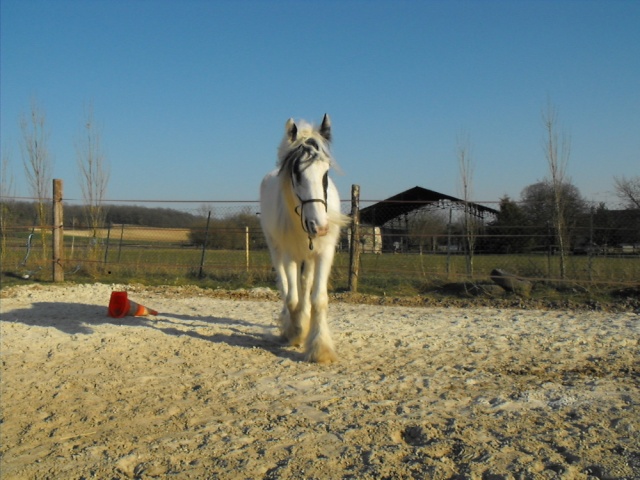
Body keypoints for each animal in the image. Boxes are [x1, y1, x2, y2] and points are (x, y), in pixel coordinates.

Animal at [260, 115, 348, 364]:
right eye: (296, 172)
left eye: (326, 172)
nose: (319, 226)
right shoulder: (289, 254)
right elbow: (291, 297)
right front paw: (296, 332)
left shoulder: (324, 252)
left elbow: (318, 298)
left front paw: (320, 348)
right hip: (276, 249)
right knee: (286, 286)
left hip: (308, 256)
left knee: (305, 285)